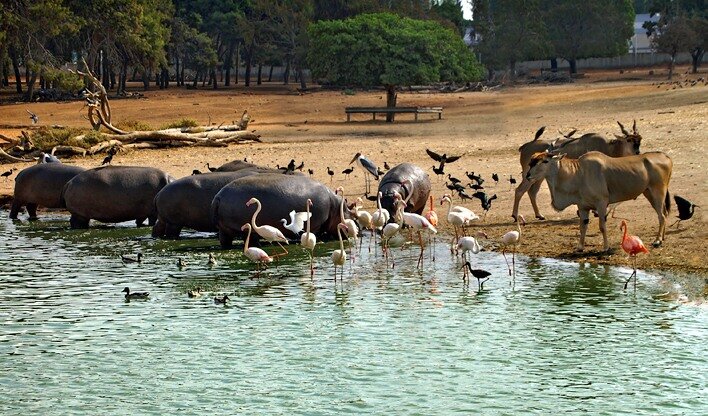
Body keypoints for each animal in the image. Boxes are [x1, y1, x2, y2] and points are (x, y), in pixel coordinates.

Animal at [213, 173, 352, 247]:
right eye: (349, 210)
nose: (357, 228)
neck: (335, 205)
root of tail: (219, 196)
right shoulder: (315, 225)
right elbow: (315, 233)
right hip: (246, 228)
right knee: (251, 239)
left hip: (224, 230)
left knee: (225, 241)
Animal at [512, 122, 644, 223]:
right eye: (629, 139)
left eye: (640, 139)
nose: (637, 152)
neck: (610, 147)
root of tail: (525, 146)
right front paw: (594, 212)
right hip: (528, 176)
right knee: (519, 190)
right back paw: (515, 215)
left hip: (538, 177)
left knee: (532, 192)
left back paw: (539, 215)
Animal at [528, 151, 672, 252]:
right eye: (532, 161)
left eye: (545, 161)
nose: (528, 175)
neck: (579, 172)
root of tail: (666, 157)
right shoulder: (583, 207)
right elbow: (583, 226)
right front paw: (580, 247)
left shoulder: (601, 204)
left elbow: (602, 227)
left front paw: (606, 247)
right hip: (649, 193)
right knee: (664, 214)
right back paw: (663, 238)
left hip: (657, 192)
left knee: (661, 215)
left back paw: (657, 241)